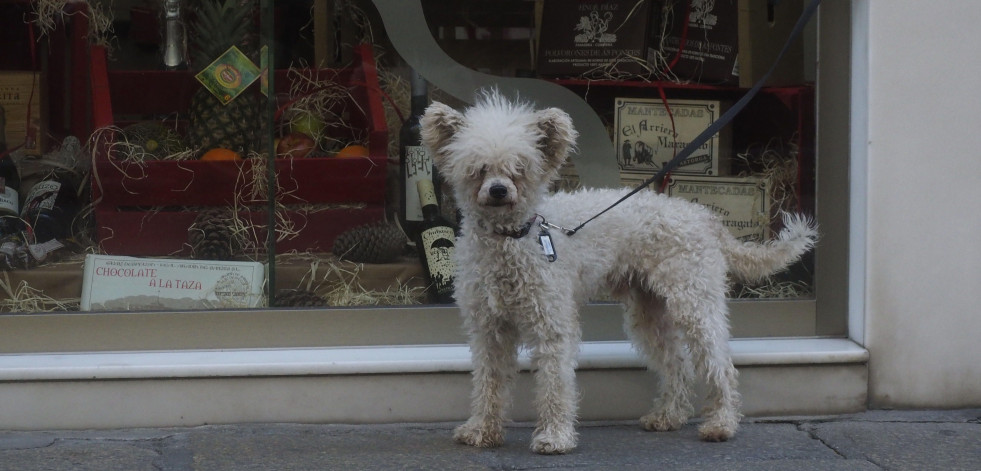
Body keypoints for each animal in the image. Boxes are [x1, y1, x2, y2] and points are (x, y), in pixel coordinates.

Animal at [422, 90, 820, 456]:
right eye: (478, 169)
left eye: (519, 168)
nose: (498, 190)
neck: (513, 240)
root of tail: (704, 217)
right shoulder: (488, 330)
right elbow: (487, 383)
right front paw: (482, 430)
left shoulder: (553, 326)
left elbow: (555, 384)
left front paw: (554, 436)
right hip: (650, 312)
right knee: (678, 364)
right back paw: (668, 416)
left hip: (695, 303)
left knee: (719, 365)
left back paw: (721, 423)